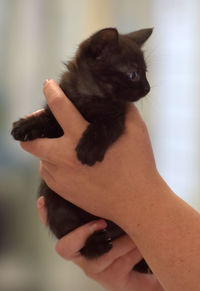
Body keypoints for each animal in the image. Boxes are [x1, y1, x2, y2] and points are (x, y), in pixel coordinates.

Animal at [12, 27, 153, 274]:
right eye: (133, 74)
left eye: (145, 73)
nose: (148, 88)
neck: (89, 95)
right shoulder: (57, 118)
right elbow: (46, 118)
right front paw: (26, 125)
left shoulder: (117, 116)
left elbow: (104, 124)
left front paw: (89, 148)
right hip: (55, 204)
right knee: (74, 236)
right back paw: (96, 244)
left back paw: (142, 263)